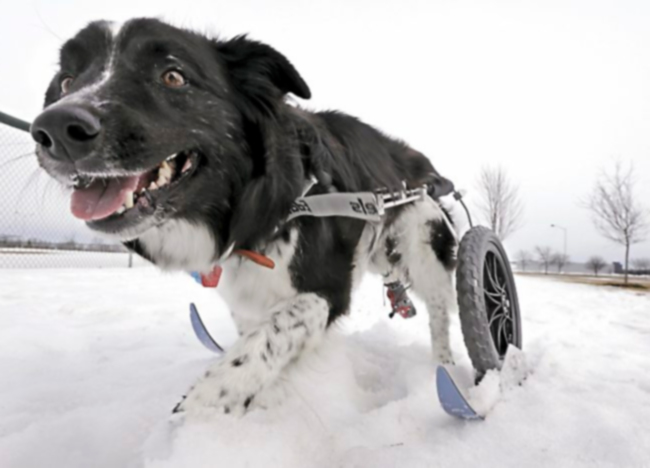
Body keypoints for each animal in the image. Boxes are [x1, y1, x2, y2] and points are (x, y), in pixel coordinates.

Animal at [30, 18, 456, 414]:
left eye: (173, 75)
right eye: (66, 81)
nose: (56, 129)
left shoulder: (328, 288)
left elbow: (272, 335)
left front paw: (203, 405)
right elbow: (261, 337)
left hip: (426, 247)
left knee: (440, 314)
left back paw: (446, 375)